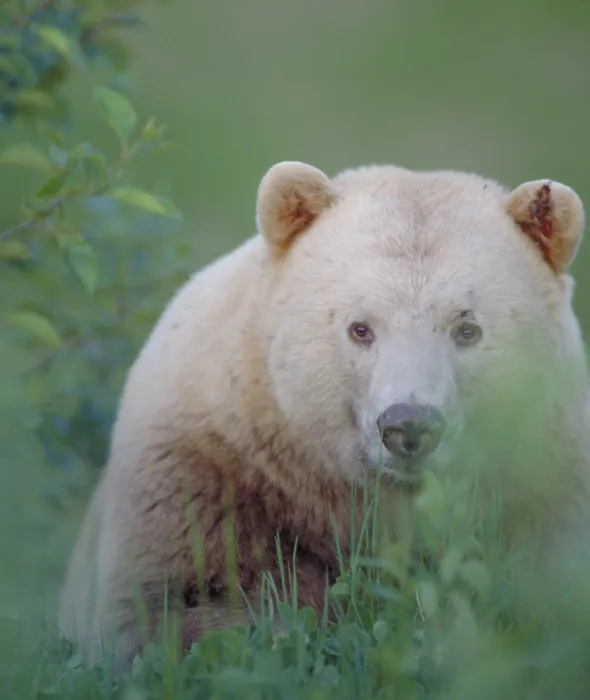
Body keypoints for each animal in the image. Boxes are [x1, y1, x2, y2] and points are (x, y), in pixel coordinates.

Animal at [57, 159, 590, 667]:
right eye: (360, 327)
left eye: (467, 329)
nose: (408, 426)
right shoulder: (207, 471)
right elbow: (177, 603)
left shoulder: (544, 482)